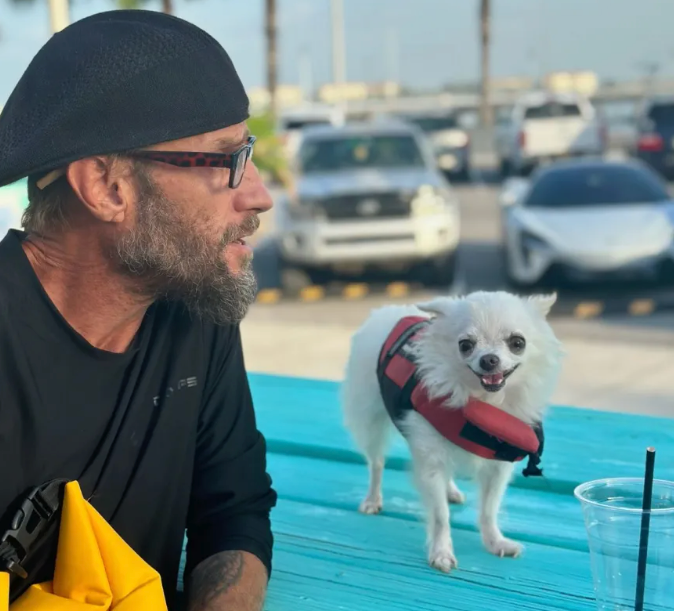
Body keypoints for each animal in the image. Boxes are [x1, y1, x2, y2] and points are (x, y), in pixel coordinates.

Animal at [342, 292, 560, 572]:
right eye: (465, 345)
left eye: (517, 343)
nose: (489, 359)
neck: (484, 402)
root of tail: (387, 310)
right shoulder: (431, 461)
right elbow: (440, 515)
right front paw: (441, 551)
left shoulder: (497, 467)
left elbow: (489, 509)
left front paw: (495, 542)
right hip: (371, 420)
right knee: (376, 464)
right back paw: (372, 499)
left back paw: (452, 491)